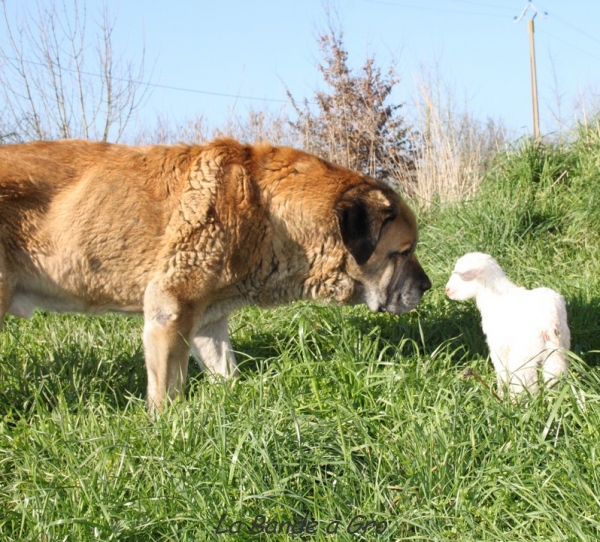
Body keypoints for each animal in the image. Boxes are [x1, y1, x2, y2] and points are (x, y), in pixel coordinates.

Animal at [0, 139, 432, 412]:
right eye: (404, 252)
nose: (428, 286)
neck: (267, 212)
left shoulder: (208, 322)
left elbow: (227, 371)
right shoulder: (168, 311)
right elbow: (166, 392)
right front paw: (165, 430)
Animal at [448, 253, 568, 398]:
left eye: (460, 276)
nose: (447, 290)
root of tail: (549, 321)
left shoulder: (497, 345)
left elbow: (501, 370)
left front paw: (500, 393)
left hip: (524, 354)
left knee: (525, 381)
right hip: (558, 350)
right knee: (554, 376)